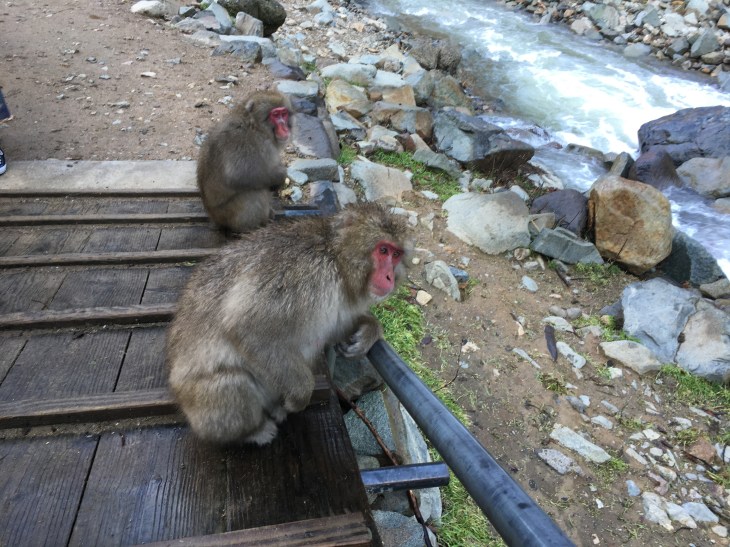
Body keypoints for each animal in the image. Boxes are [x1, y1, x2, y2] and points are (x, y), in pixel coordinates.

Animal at [166, 202, 410, 445]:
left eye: (397, 255)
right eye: (383, 250)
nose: (389, 277)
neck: (336, 259)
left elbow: (334, 327)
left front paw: (368, 330)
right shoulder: (304, 274)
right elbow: (248, 329)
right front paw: (300, 398)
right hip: (203, 410)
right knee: (233, 381)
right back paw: (253, 432)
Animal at [196, 90, 292, 233]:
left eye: (284, 114)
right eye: (275, 115)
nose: (285, 127)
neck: (255, 126)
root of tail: (214, 218)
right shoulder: (248, 143)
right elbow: (238, 175)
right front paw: (281, 176)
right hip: (230, 215)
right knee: (256, 192)